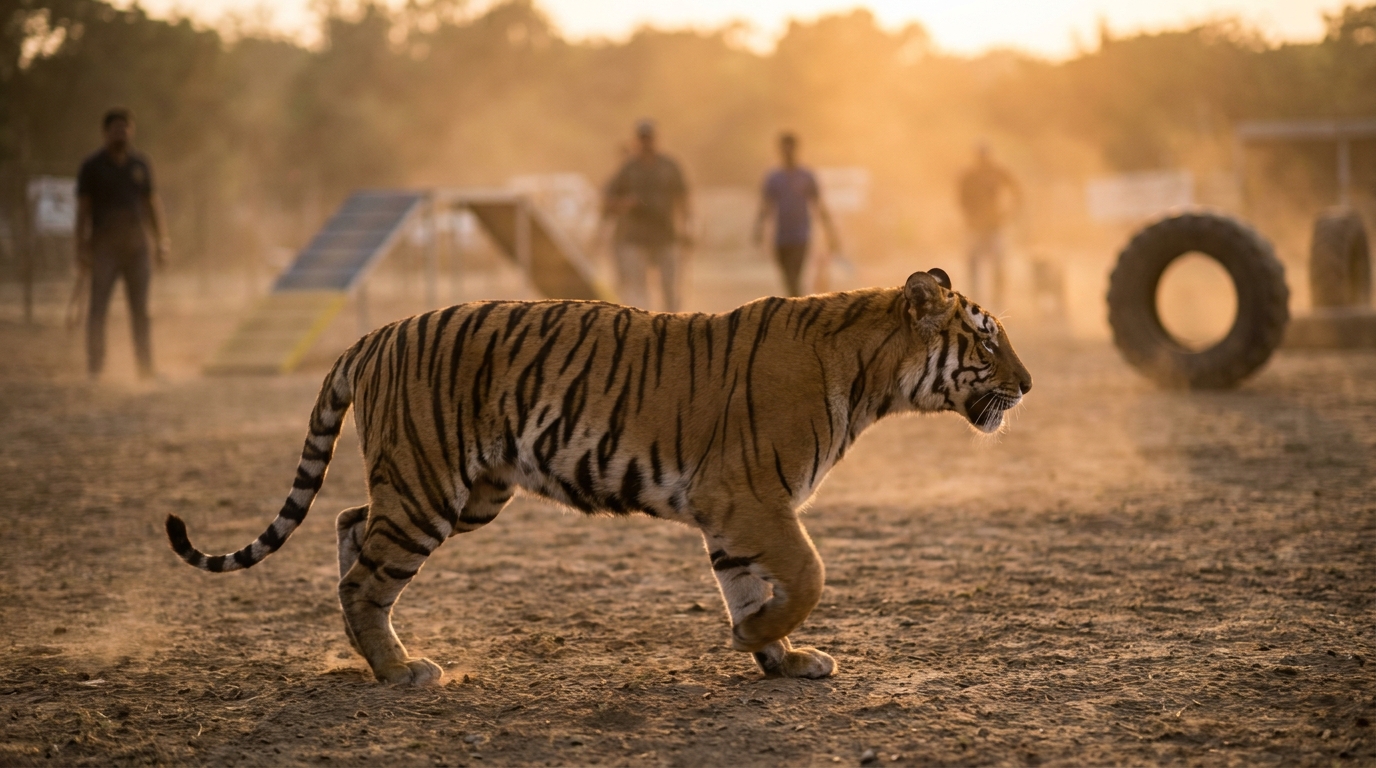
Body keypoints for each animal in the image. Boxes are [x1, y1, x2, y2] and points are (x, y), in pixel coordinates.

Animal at [167, 268, 1031, 685]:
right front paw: (756, 641)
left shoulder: (734, 515)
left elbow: (750, 585)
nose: (1029, 384)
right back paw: (399, 670)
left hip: (467, 490)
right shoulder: (752, 499)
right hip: (429, 485)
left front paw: (776, 658)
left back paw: (370, 652)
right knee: (364, 574)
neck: (874, 378)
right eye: (988, 341)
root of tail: (374, 333)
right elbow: (809, 576)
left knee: (350, 525)